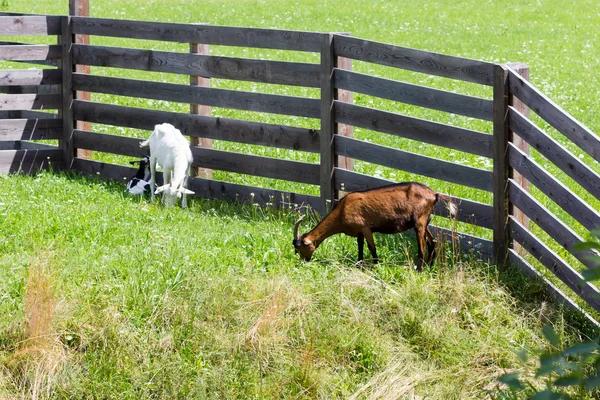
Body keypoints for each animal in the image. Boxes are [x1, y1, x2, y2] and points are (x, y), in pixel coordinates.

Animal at [292, 182, 458, 272]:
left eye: (300, 249)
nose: (302, 262)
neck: (342, 210)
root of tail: (434, 194)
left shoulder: (366, 228)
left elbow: (372, 248)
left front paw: (376, 266)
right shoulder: (358, 232)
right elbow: (360, 246)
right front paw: (359, 264)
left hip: (419, 222)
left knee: (422, 248)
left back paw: (419, 270)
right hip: (425, 222)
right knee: (432, 243)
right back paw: (430, 267)